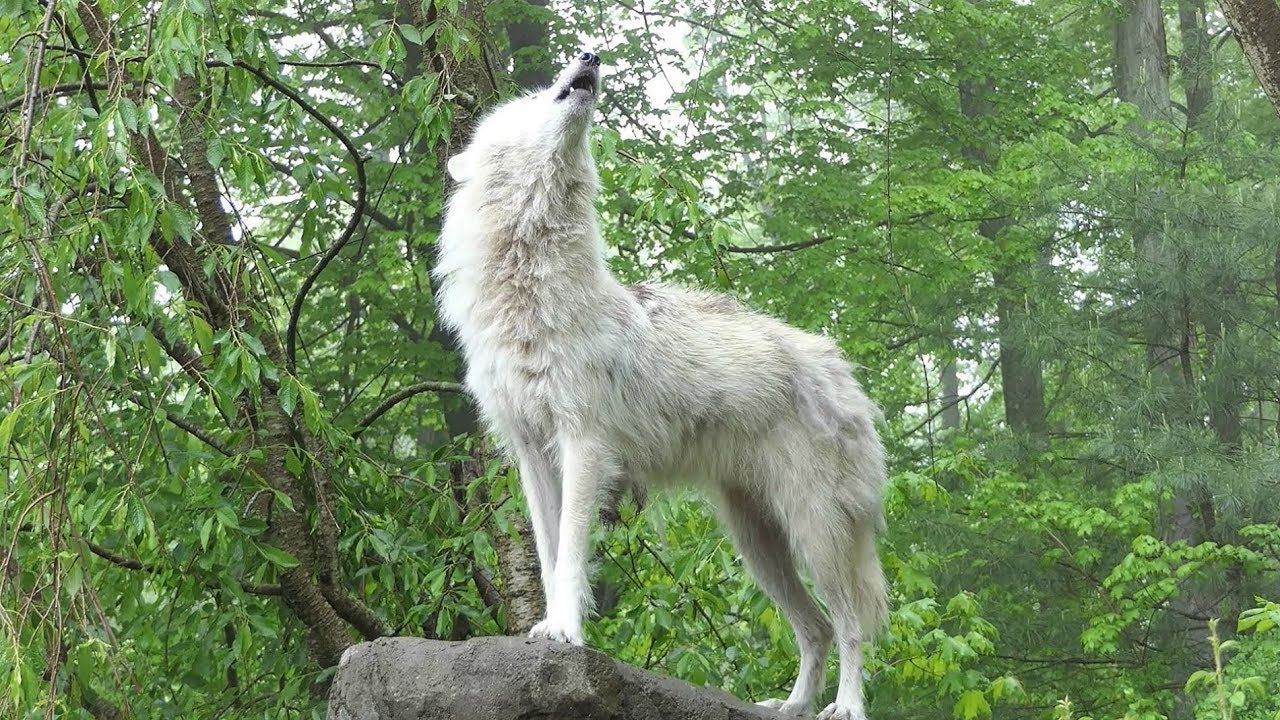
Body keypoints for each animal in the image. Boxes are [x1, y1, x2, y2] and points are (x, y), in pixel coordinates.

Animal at [432, 52, 889, 720]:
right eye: (533, 98)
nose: (591, 55)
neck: (532, 292)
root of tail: (843, 371)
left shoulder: (585, 446)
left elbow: (571, 557)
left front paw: (564, 630)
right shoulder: (532, 455)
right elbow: (547, 557)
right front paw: (548, 628)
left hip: (816, 533)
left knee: (852, 625)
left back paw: (847, 706)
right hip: (757, 543)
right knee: (818, 628)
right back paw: (787, 707)